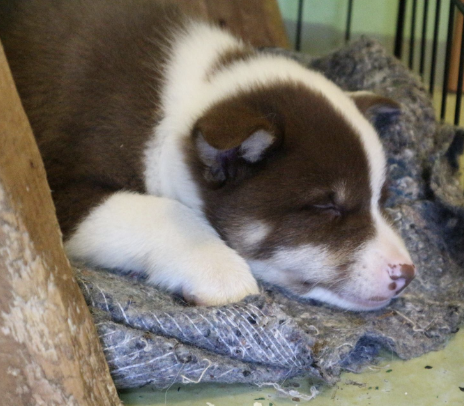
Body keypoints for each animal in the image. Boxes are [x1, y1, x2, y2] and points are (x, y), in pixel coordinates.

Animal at [0, 0, 416, 310]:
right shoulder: (57, 189)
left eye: (382, 199)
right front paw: (218, 269)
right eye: (326, 207)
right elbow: (161, 210)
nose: (407, 274)